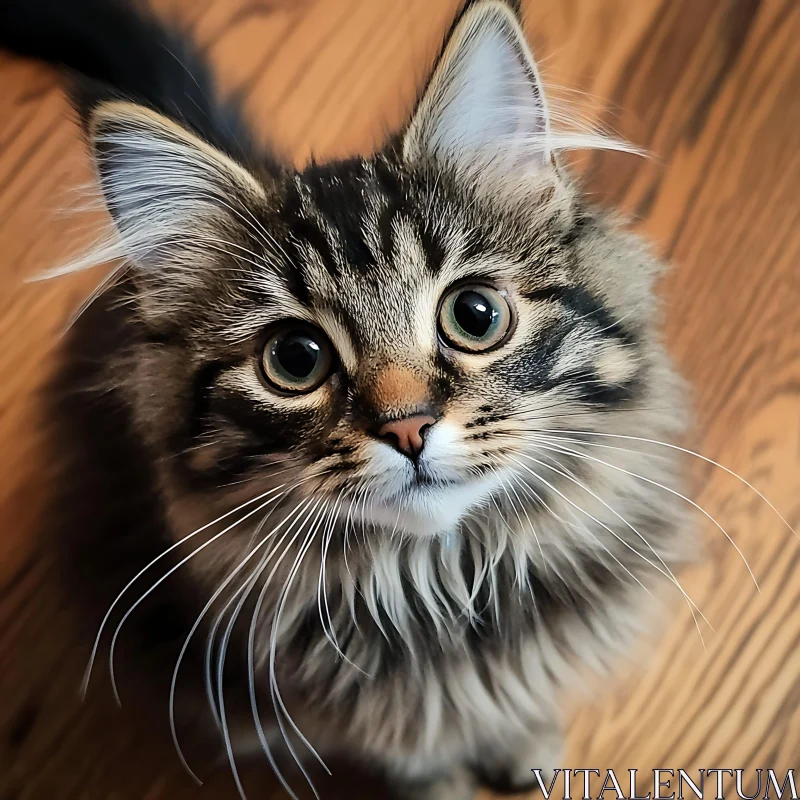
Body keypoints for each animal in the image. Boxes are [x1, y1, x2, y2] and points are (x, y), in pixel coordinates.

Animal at [0, 1, 692, 800]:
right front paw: (450, 787)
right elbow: (419, 759)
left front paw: (526, 743)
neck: (443, 589)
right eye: (295, 360)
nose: (409, 427)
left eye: (476, 315)